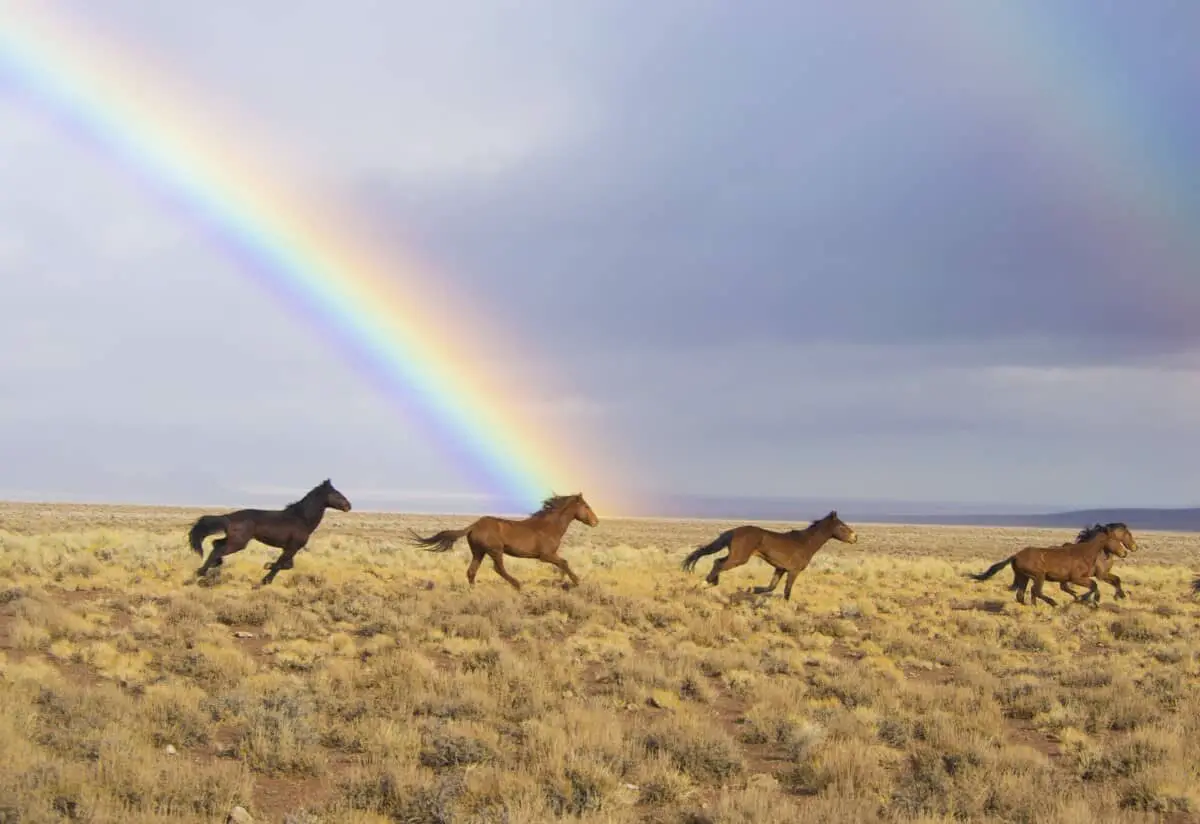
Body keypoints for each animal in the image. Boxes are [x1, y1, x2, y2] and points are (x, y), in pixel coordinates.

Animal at [184, 477, 350, 587]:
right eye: (336, 494)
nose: (349, 506)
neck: (302, 518)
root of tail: (229, 517)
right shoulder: (292, 548)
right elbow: (280, 565)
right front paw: (265, 579)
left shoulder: (290, 548)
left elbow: (287, 565)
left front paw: (267, 566)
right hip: (238, 542)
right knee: (218, 549)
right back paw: (201, 572)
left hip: (234, 539)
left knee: (216, 544)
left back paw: (209, 567)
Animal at [410, 494, 597, 590]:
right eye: (586, 506)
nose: (596, 522)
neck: (549, 526)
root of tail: (474, 526)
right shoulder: (546, 555)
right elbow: (564, 563)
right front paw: (575, 582)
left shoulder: (550, 555)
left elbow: (563, 564)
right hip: (495, 551)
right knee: (498, 569)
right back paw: (517, 585)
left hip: (478, 552)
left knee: (471, 571)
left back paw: (473, 591)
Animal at [681, 508, 859, 599]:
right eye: (842, 526)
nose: (855, 537)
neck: (805, 543)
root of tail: (734, 531)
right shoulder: (793, 571)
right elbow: (787, 592)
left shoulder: (780, 569)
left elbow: (771, 587)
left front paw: (750, 590)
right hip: (739, 558)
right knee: (719, 563)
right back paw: (704, 584)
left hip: (736, 556)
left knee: (717, 561)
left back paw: (712, 583)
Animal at [969, 527, 1128, 606]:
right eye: (1115, 540)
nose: (1124, 553)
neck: (1084, 553)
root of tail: (1015, 555)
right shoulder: (1076, 578)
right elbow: (1094, 585)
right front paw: (1089, 600)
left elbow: (1093, 586)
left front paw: (1086, 599)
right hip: (1038, 576)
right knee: (1035, 591)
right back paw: (1052, 603)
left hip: (1024, 577)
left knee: (1021, 594)